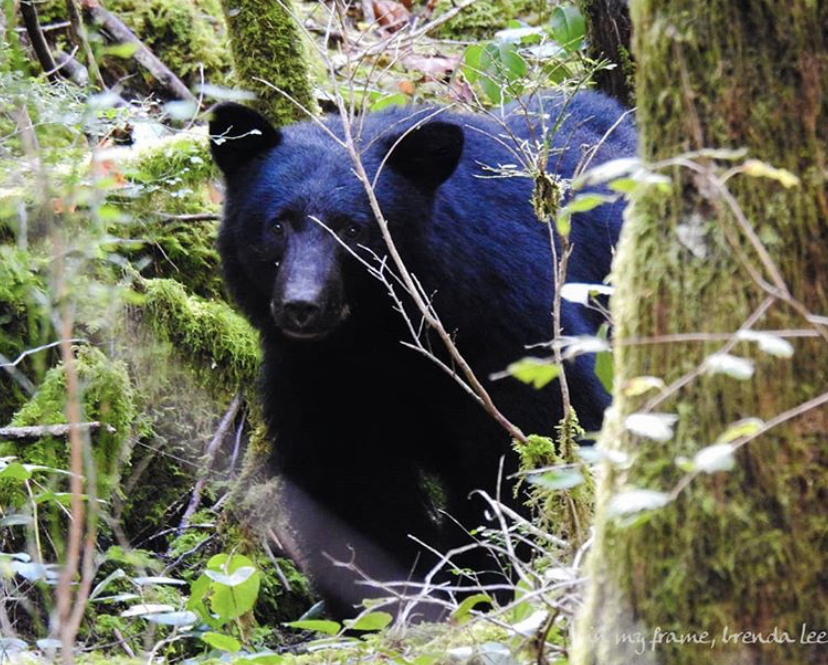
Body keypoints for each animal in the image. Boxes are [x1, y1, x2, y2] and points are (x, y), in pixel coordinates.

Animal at [209, 91, 635, 620]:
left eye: (353, 229)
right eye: (277, 225)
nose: (301, 306)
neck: (378, 335)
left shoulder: (505, 323)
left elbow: (531, 445)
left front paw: (485, 582)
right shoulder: (317, 373)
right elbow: (350, 479)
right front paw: (391, 600)